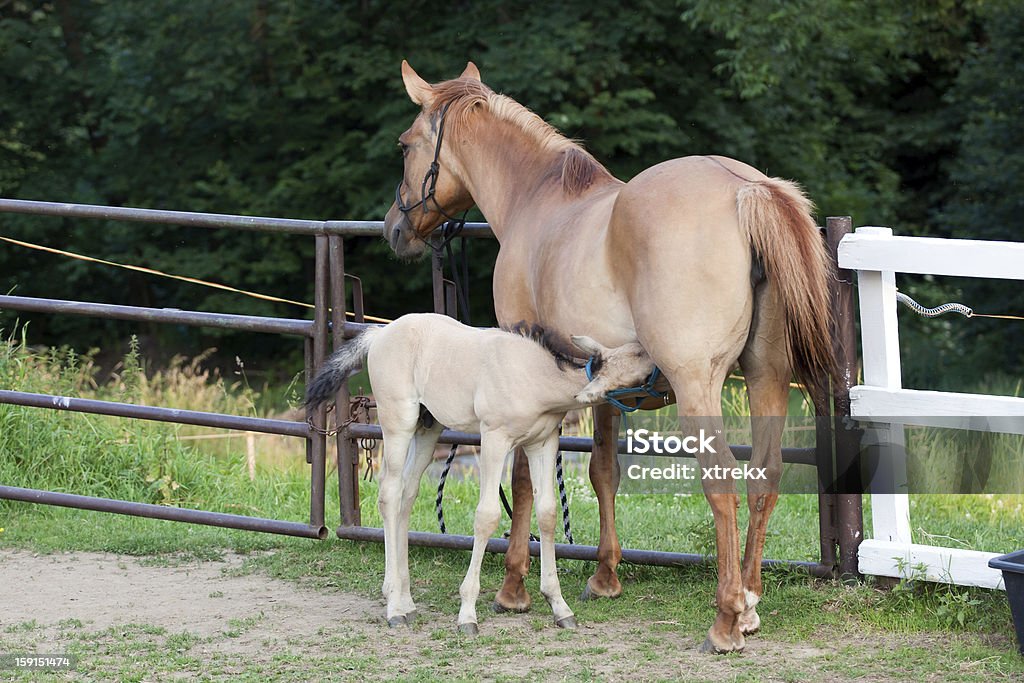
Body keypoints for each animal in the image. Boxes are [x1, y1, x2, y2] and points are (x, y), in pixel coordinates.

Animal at [305, 315, 655, 634]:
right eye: (638, 354)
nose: (657, 356)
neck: (535, 375)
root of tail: (379, 333)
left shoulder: (542, 443)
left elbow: (548, 513)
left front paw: (560, 607)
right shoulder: (494, 440)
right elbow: (486, 516)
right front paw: (467, 614)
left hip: (427, 428)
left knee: (407, 494)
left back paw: (406, 601)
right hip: (397, 424)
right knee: (389, 494)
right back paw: (393, 606)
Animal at [380, 60, 835, 651]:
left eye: (405, 145)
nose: (394, 229)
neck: (538, 202)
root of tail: (747, 189)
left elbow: (523, 482)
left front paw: (513, 589)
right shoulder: (602, 385)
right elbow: (601, 471)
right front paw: (604, 576)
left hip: (701, 387)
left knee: (723, 484)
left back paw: (726, 618)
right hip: (767, 378)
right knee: (765, 477)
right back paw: (752, 603)